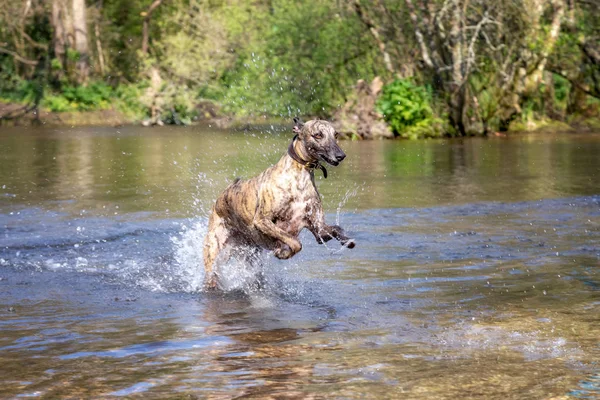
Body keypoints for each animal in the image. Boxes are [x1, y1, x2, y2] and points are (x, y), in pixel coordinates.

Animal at [204, 117, 356, 290]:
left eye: (335, 135)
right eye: (318, 135)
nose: (341, 156)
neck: (299, 176)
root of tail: (221, 196)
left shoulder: (319, 230)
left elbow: (336, 229)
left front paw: (347, 240)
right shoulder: (262, 221)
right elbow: (296, 243)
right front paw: (283, 253)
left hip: (250, 254)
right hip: (214, 249)